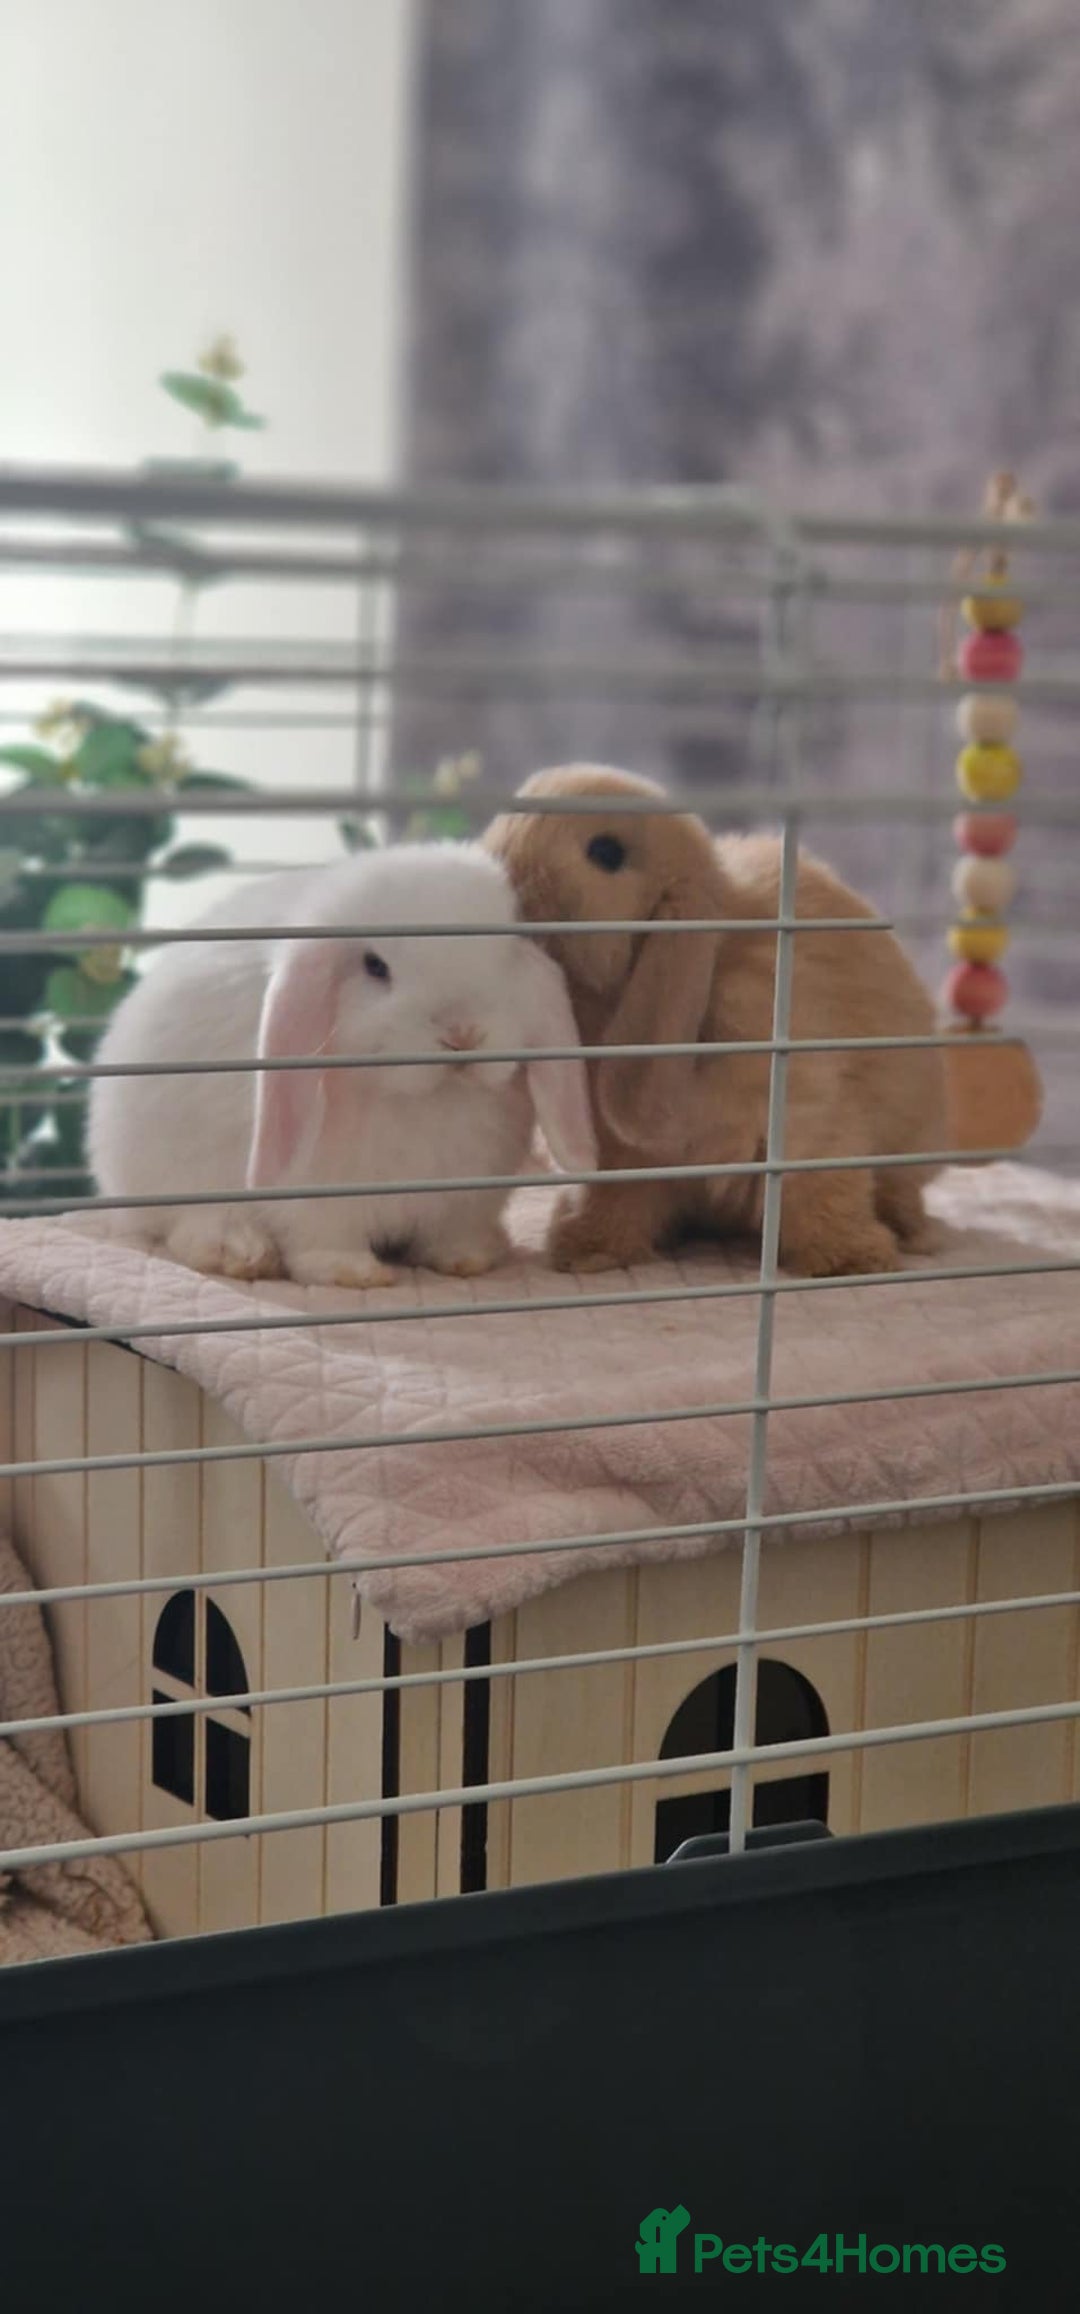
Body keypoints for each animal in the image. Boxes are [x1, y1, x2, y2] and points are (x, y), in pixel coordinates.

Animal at [87, 842, 596, 1288]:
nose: (463, 1033)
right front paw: (355, 1274)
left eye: (508, 952)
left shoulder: (468, 1199)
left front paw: (469, 1259)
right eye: (375, 966)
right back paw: (242, 1252)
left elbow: (454, 1237)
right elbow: (324, 1241)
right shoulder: (316, 1195)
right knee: (188, 1227)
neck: (427, 1099)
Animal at [483, 764, 948, 1279]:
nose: (496, 869)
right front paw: (586, 1251)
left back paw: (916, 1233)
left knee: (899, 1192)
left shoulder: (806, 1117)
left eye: (606, 851)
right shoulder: (623, 1157)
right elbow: (617, 1201)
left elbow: (819, 1191)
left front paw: (850, 1260)